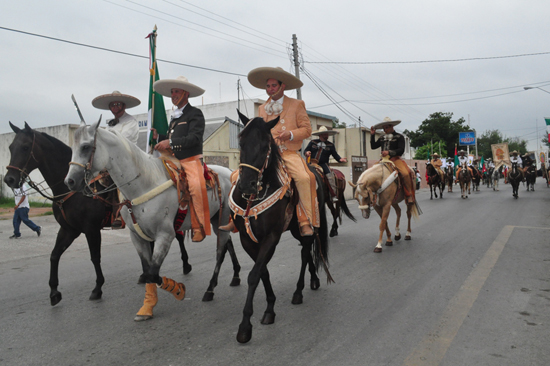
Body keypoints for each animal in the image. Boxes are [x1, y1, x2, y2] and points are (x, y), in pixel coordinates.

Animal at [230, 113, 332, 344]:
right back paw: (314, 279)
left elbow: (254, 274)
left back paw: (299, 291)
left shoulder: (272, 237)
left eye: (265, 145)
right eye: (241, 142)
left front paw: (245, 326)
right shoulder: (247, 240)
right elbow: (263, 272)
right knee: (307, 251)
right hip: (295, 228)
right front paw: (269, 309)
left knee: (305, 251)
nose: (246, 185)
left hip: (306, 225)